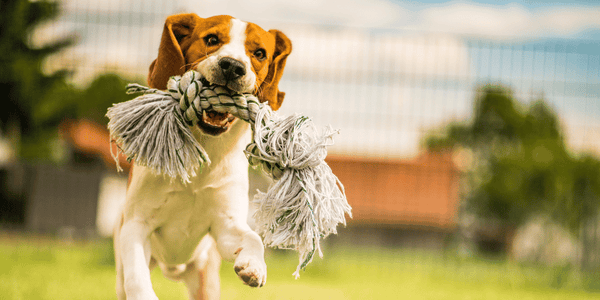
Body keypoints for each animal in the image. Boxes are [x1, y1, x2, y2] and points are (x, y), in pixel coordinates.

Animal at [113, 14, 292, 300]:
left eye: (259, 53)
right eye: (211, 39)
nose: (232, 66)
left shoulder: (225, 226)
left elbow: (253, 238)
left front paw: (254, 265)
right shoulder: (136, 224)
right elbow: (137, 278)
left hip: (205, 279)